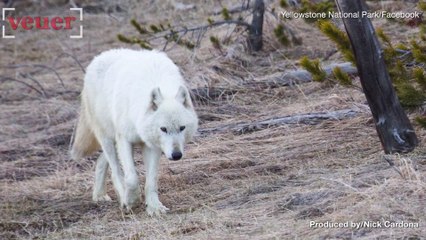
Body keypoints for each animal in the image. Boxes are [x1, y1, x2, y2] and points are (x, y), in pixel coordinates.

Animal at [70, 48, 199, 216]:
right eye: (163, 129)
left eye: (182, 128)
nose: (176, 155)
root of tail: (100, 56)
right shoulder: (125, 139)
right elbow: (131, 178)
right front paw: (131, 201)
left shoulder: (152, 145)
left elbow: (151, 181)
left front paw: (154, 207)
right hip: (107, 138)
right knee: (115, 170)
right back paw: (121, 198)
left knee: (100, 161)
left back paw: (99, 195)